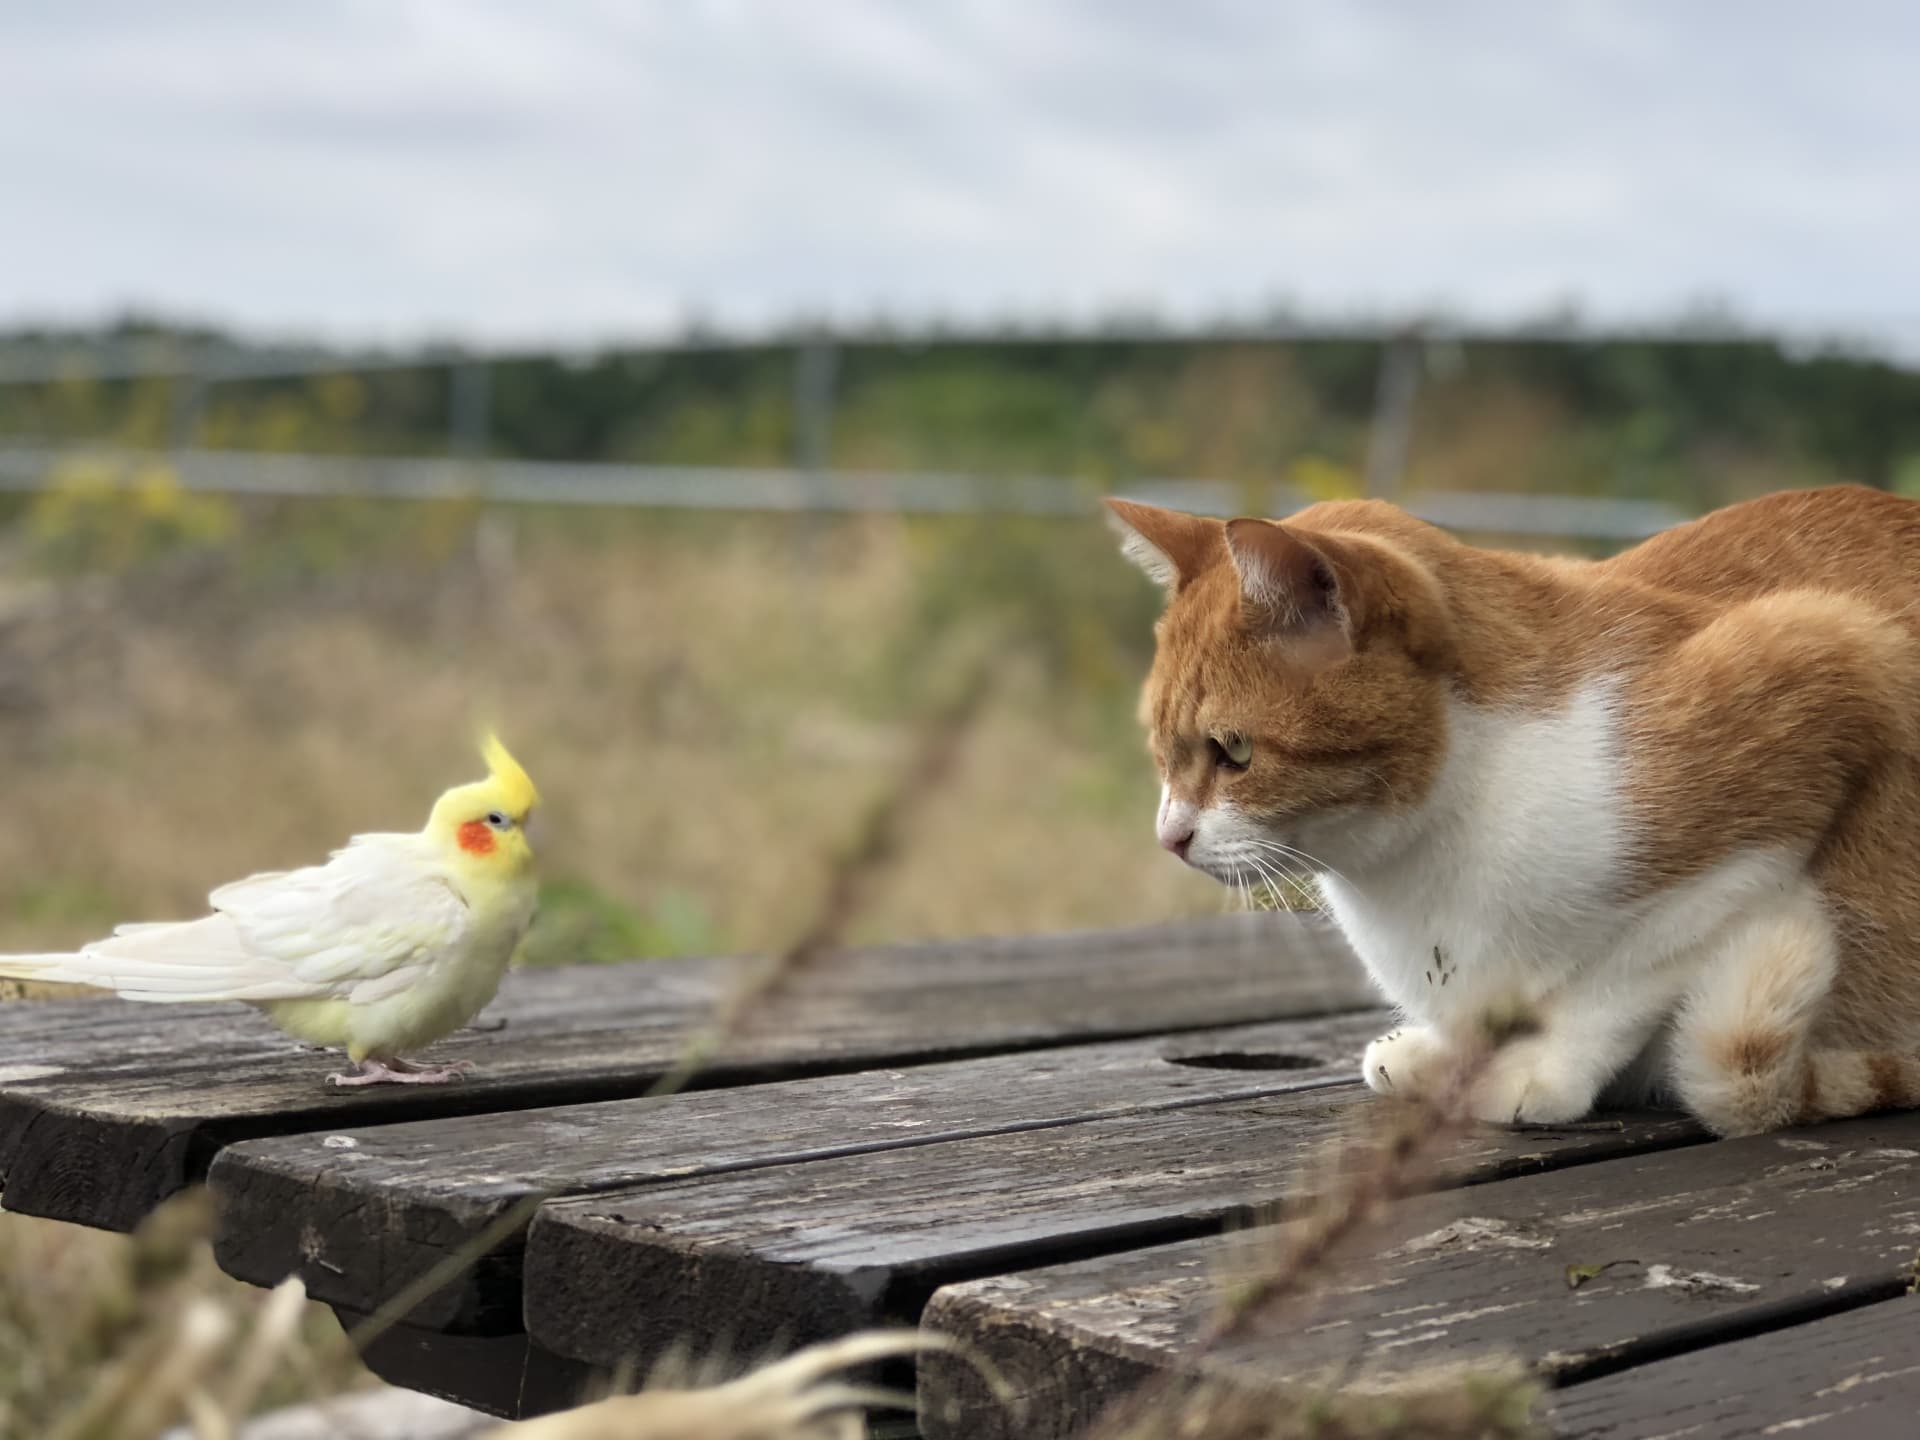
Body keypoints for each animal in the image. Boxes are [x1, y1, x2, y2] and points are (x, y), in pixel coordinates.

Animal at [1105, 487, 1920, 1136]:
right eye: (1162, 752)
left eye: (1234, 751)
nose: (1169, 837)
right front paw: (1441, 1057)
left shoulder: (1829, 674)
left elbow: (1622, 977)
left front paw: (1542, 1072)